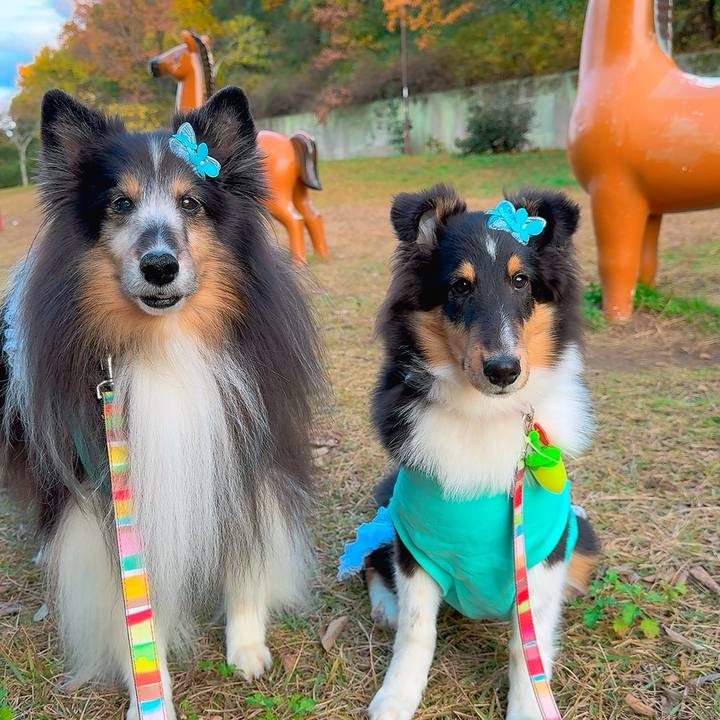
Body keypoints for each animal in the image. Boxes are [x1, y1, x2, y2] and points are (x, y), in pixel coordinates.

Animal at [0, 87, 322, 719]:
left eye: (191, 202)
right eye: (120, 203)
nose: (159, 266)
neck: (166, 345)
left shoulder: (242, 455)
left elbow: (244, 559)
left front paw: (247, 646)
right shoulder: (106, 499)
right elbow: (131, 607)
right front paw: (150, 694)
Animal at [362, 185, 599, 720]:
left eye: (521, 281)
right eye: (459, 287)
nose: (503, 370)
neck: (483, 416)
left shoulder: (542, 555)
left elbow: (525, 643)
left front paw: (530, 706)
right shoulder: (415, 547)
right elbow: (416, 631)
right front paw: (395, 697)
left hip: (583, 533)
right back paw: (385, 606)